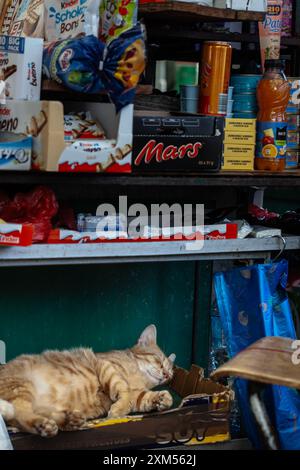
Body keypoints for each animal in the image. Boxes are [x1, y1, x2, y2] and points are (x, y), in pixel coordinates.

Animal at [0, 326, 176, 436]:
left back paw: (68, 420)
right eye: (159, 361)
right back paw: (42, 425)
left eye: (171, 372)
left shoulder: (136, 393)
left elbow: (140, 398)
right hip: (21, 386)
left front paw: (163, 399)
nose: (166, 374)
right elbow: (123, 391)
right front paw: (117, 411)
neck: (138, 377)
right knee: (18, 415)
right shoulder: (106, 366)